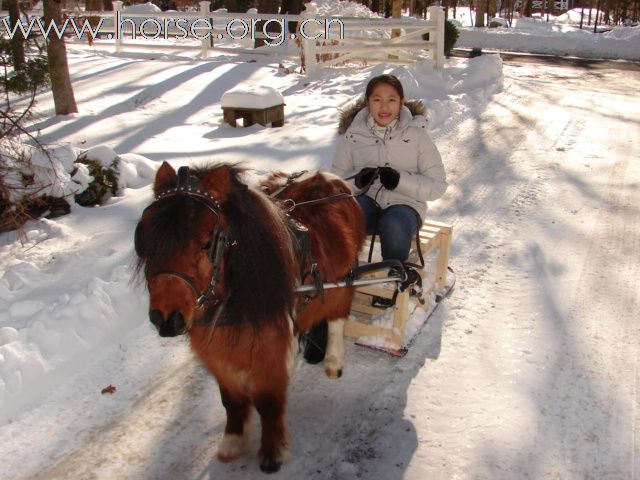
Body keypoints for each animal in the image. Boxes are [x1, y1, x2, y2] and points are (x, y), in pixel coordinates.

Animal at [134, 162, 364, 472]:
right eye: (146, 239)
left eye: (207, 243)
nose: (166, 317)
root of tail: (327, 177)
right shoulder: (216, 352)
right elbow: (231, 400)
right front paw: (234, 440)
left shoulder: (268, 349)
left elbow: (267, 401)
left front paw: (272, 452)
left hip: (343, 279)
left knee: (338, 315)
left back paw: (333, 360)